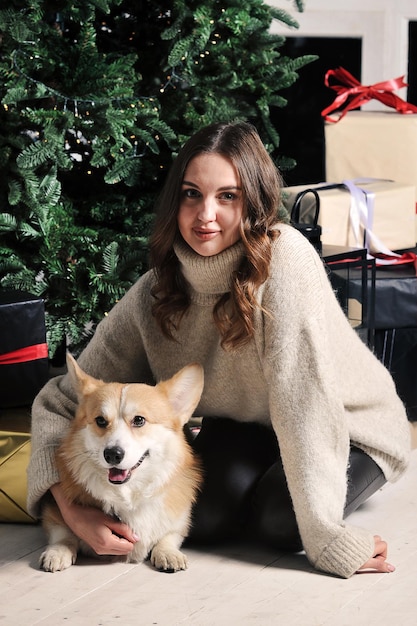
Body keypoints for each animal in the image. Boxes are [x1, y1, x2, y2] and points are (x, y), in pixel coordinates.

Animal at [39, 352, 202, 572]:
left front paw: (167, 553)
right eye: (100, 421)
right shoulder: (55, 513)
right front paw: (58, 552)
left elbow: (169, 535)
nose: (112, 454)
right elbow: (63, 533)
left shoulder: (178, 521)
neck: (128, 494)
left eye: (139, 420)